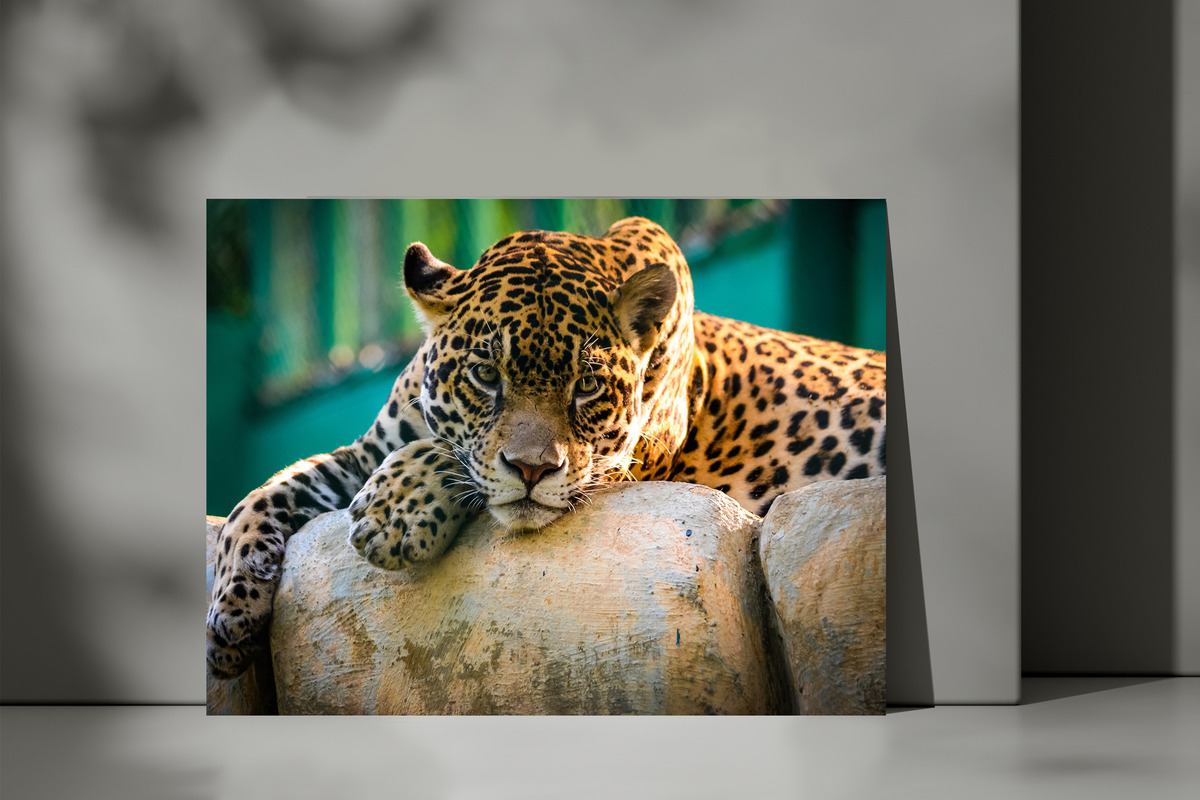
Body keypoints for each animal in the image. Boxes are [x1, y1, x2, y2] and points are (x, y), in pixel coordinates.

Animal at [206, 216, 886, 679]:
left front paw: (394, 513)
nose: (533, 469)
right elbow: (266, 491)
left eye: (586, 385)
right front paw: (230, 613)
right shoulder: (365, 451)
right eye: (486, 375)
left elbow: (456, 459)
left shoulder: (624, 462)